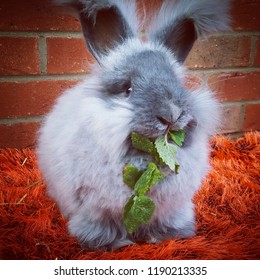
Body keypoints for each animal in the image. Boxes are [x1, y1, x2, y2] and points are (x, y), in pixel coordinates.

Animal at [36, 0, 230, 249]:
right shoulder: (95, 209)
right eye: (127, 89)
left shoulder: (172, 207)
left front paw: (172, 235)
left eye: (177, 85)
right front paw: (109, 244)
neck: (145, 158)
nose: (172, 114)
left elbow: (168, 221)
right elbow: (102, 227)